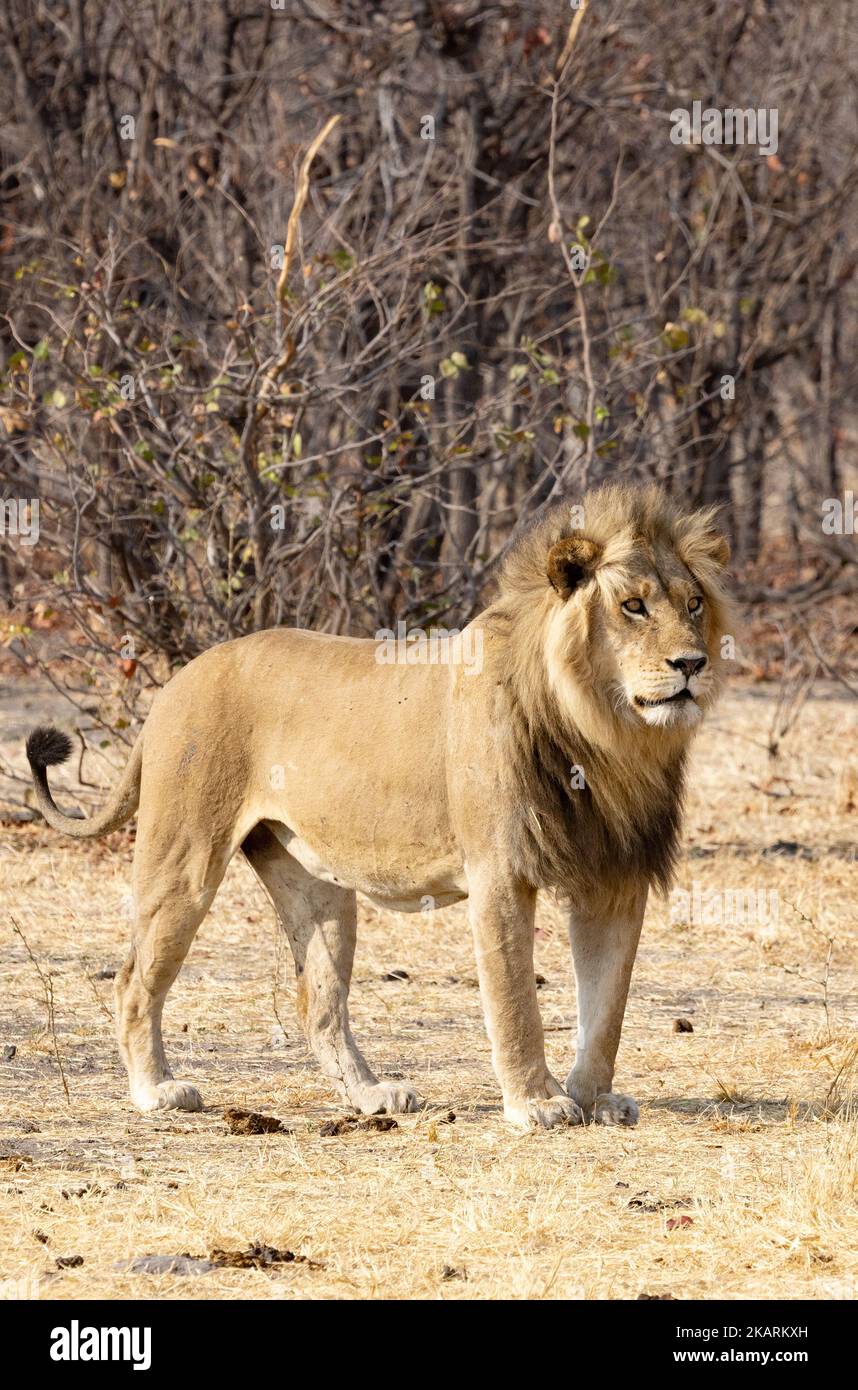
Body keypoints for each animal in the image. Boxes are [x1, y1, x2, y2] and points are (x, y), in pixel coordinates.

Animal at [30, 483, 734, 1123]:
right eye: (632, 606)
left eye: (694, 604)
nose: (693, 663)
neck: (608, 738)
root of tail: (178, 679)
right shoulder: (500, 873)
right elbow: (515, 1001)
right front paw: (537, 1103)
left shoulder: (615, 877)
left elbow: (607, 1006)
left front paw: (593, 1097)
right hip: (184, 860)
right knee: (133, 979)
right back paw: (156, 1090)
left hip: (315, 887)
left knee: (318, 1005)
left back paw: (371, 1097)